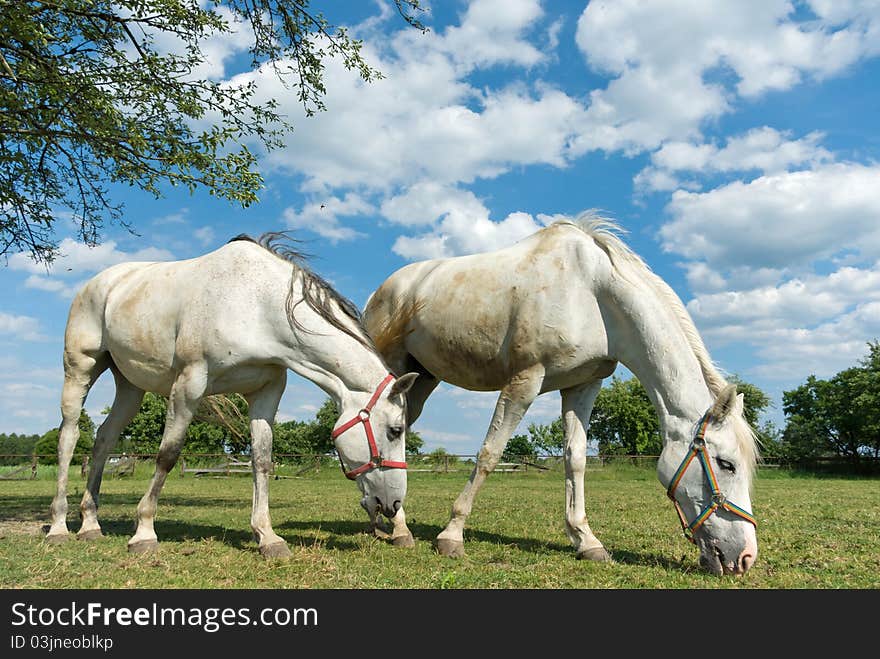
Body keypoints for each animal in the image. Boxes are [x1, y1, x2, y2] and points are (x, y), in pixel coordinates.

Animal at [48, 232, 420, 556]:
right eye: (395, 430)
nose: (393, 504)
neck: (257, 304)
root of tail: (99, 283)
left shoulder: (266, 392)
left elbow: (262, 461)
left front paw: (268, 537)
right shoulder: (190, 382)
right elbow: (168, 454)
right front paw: (144, 532)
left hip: (130, 386)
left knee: (104, 439)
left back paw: (90, 524)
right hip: (80, 369)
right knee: (69, 439)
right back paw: (58, 527)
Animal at [360, 213, 760, 576]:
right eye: (726, 464)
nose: (745, 557)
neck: (593, 293)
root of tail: (385, 289)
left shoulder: (582, 385)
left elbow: (576, 459)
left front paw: (587, 541)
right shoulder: (525, 380)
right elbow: (490, 453)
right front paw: (451, 536)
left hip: (422, 379)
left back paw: (385, 517)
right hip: (393, 368)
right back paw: (398, 527)